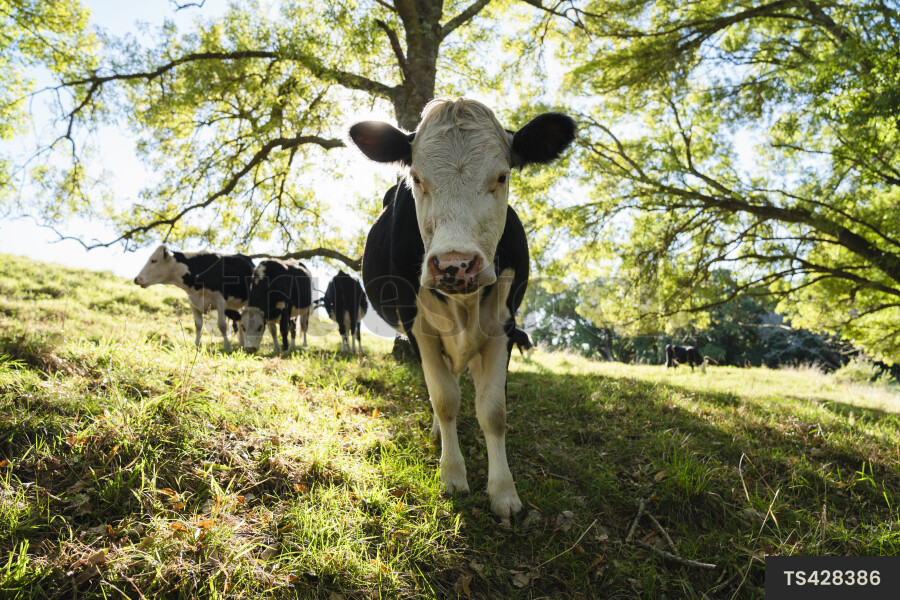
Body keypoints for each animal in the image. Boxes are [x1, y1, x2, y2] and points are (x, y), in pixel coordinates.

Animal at [348, 98, 575, 517]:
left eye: (502, 176)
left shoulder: (503, 325)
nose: (455, 264)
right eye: (417, 178)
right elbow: (444, 399)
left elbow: (492, 410)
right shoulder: (417, 325)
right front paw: (452, 475)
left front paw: (503, 491)